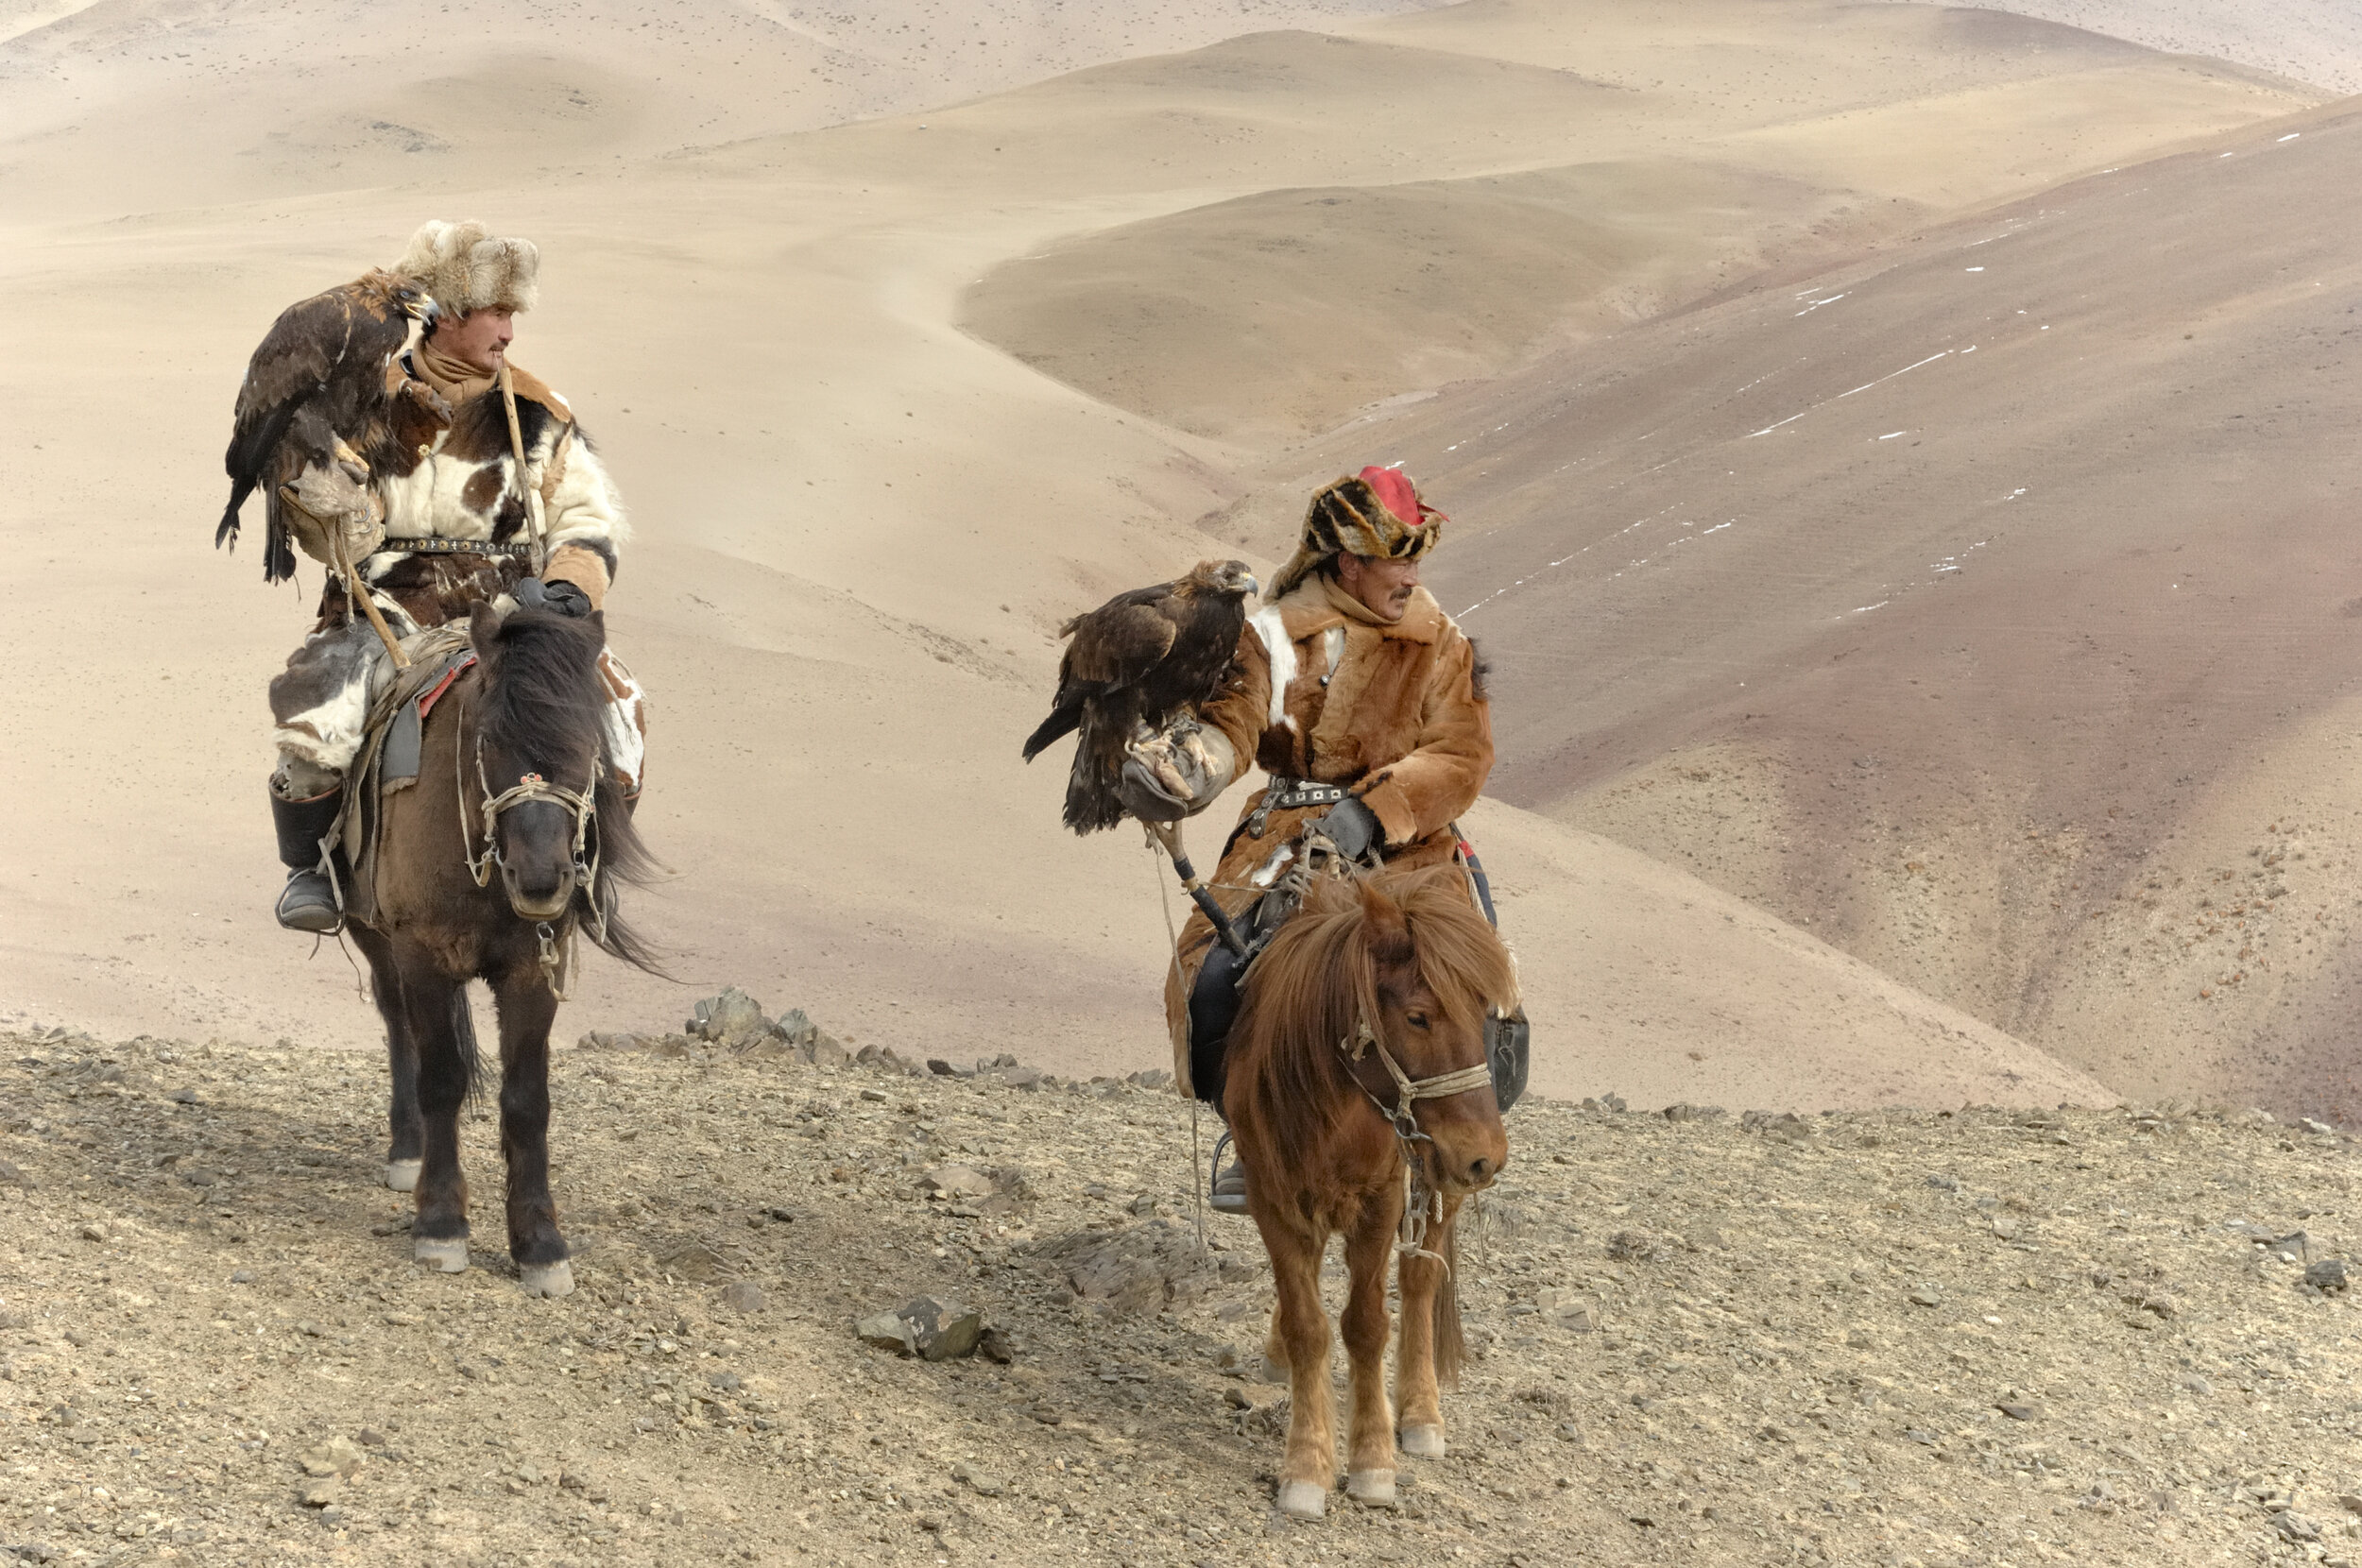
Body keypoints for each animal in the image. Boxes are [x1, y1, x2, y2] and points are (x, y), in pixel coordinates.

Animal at [345, 600, 657, 1294]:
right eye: (488, 740)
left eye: (588, 744)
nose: (541, 879)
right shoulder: (423, 956)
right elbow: (442, 1079)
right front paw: (440, 1225)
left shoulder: (535, 970)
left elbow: (526, 1100)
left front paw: (540, 1243)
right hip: (375, 935)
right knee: (395, 1021)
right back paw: (407, 1150)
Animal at [1219, 860, 1512, 1521]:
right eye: (1419, 1016)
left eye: (1486, 1013)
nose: (1486, 1156)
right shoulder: (1273, 1197)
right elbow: (1309, 1326)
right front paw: (1306, 1467)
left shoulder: (1381, 1201)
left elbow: (1368, 1323)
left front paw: (1374, 1461)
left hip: (1436, 1183)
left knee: (1422, 1279)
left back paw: (1422, 1414)